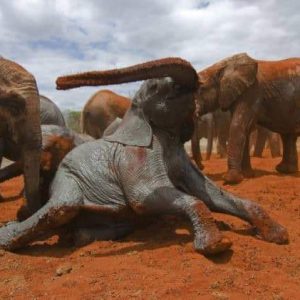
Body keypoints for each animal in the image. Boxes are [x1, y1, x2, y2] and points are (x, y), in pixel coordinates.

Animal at [196, 53, 300, 183]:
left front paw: (230, 180)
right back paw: (285, 170)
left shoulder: (251, 92)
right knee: (287, 135)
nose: (202, 168)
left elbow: (237, 125)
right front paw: (247, 175)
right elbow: (245, 129)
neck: (221, 66)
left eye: (200, 89)